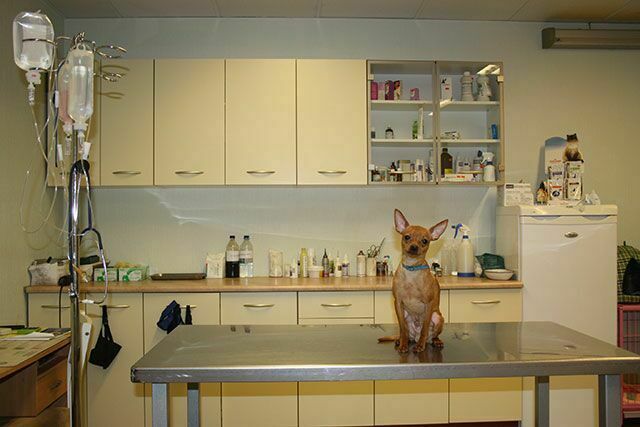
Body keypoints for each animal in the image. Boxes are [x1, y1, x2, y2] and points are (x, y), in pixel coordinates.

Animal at [384, 209, 448, 353]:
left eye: (424, 241)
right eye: (407, 237)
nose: (414, 247)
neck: (411, 269)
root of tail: (415, 336)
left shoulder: (428, 305)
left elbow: (425, 327)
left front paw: (420, 346)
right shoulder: (398, 303)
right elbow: (402, 328)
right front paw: (403, 345)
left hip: (438, 317)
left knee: (431, 335)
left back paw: (434, 341)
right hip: (406, 314)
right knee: (407, 333)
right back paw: (403, 340)